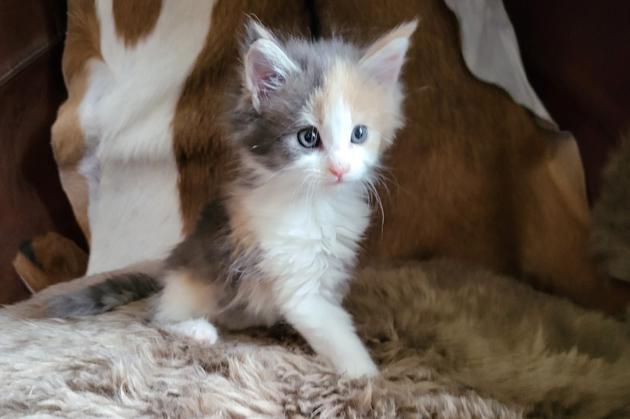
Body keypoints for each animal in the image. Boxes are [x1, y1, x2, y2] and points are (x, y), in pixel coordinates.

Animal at [46, 19, 416, 378]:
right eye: (309, 137)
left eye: (359, 134)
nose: (340, 169)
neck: (317, 203)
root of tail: (165, 276)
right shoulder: (294, 279)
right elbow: (334, 333)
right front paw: (369, 377)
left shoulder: (332, 270)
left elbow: (336, 318)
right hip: (190, 286)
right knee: (155, 318)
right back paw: (197, 330)